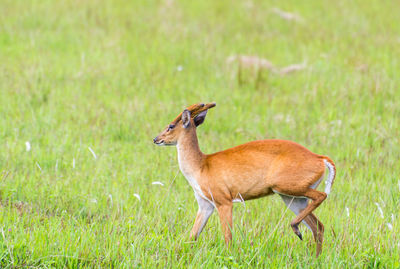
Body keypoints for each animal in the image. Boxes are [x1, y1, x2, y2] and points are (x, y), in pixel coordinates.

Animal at [153, 102, 334, 255]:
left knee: (322, 197)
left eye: (170, 126)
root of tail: (320, 158)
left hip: (288, 187)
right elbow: (192, 236)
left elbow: (228, 238)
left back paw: (296, 229)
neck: (201, 165)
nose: (156, 139)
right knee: (318, 226)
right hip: (293, 199)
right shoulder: (205, 204)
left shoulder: (224, 201)